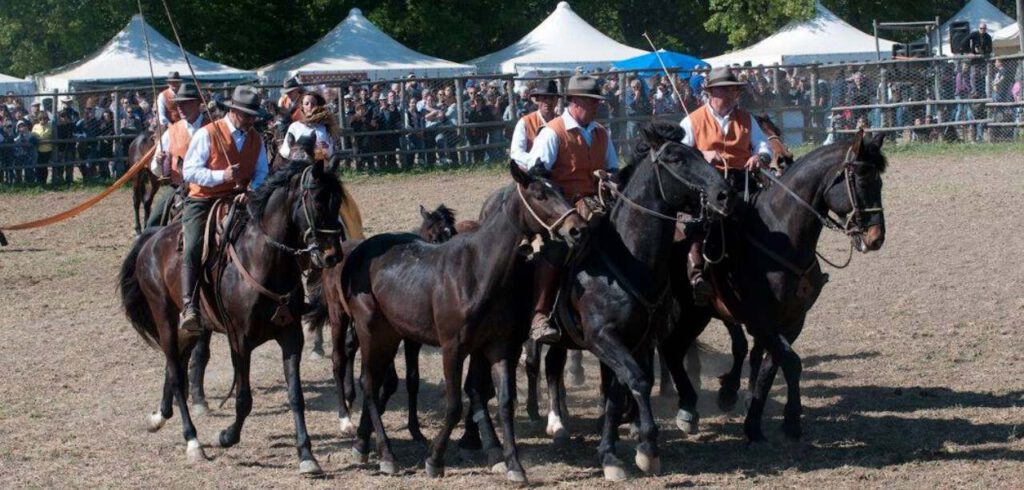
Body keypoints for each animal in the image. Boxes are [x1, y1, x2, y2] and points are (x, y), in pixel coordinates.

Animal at [117, 158, 346, 474]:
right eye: (316, 201)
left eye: (338, 202)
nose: (332, 256)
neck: (262, 260)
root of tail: (151, 241)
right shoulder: (239, 340)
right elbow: (243, 399)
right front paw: (226, 436)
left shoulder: (291, 337)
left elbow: (295, 396)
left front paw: (306, 455)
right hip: (164, 316)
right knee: (175, 372)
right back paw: (193, 442)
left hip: (191, 328)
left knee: (177, 364)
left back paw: (159, 417)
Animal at [331, 163, 581, 482]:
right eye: (539, 195)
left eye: (560, 189)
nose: (576, 227)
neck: (479, 271)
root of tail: (356, 255)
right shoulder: (453, 348)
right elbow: (454, 405)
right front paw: (435, 459)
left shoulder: (498, 347)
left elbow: (504, 403)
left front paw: (514, 465)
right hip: (371, 331)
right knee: (368, 383)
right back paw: (386, 454)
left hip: (391, 335)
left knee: (374, 384)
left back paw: (363, 445)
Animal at [663, 131, 888, 443]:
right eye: (861, 181)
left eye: (880, 183)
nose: (876, 237)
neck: (783, 238)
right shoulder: (761, 319)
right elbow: (790, 362)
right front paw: (790, 419)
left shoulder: (793, 320)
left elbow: (772, 365)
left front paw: (756, 421)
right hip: (685, 310)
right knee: (672, 346)